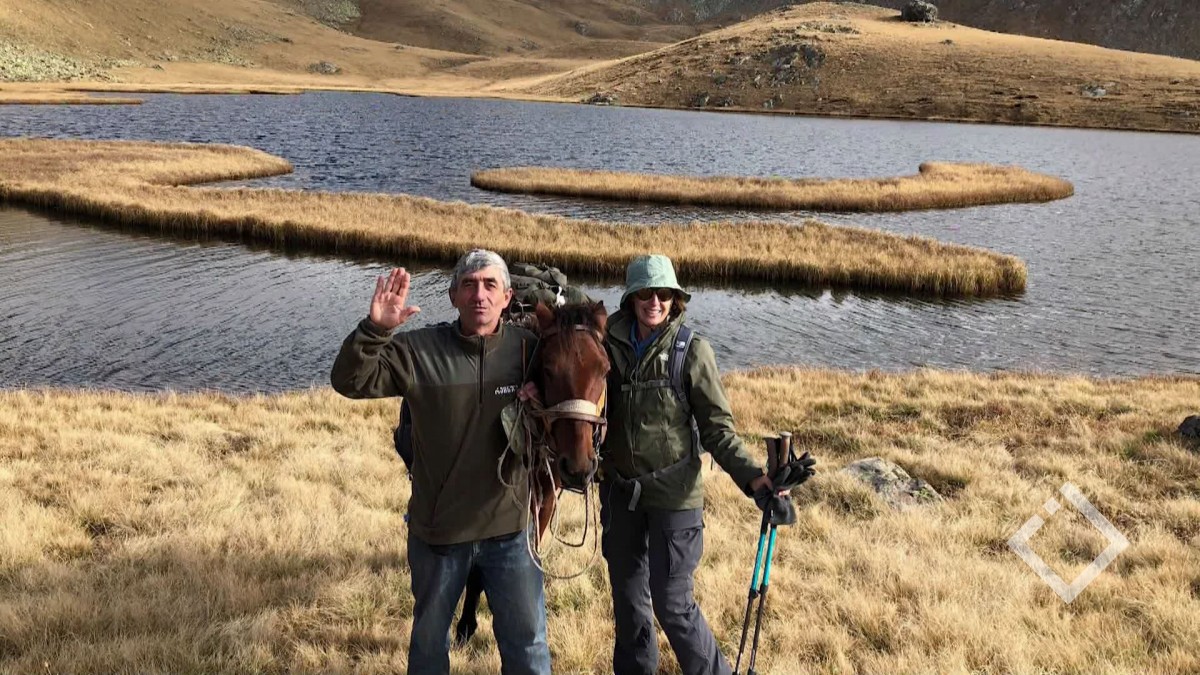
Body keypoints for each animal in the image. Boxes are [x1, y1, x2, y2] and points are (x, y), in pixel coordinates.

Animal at [454, 300, 610, 645]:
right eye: (548, 368)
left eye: (604, 369)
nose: (578, 468)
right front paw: (466, 622)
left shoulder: (548, 493)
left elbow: (535, 543)